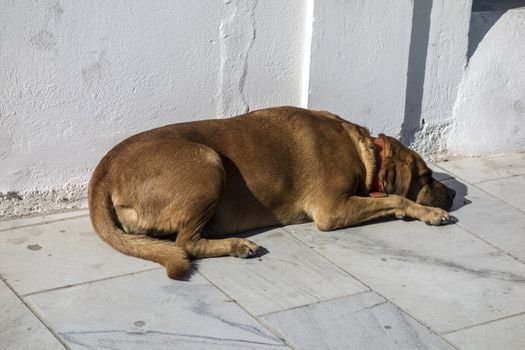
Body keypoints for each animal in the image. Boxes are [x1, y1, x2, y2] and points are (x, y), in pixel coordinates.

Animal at [89, 106, 454, 278]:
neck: (364, 152)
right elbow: (397, 197)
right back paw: (237, 245)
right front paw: (429, 212)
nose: (452, 196)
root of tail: (103, 171)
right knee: (185, 244)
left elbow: (392, 198)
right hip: (209, 163)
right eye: (426, 175)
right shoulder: (332, 210)